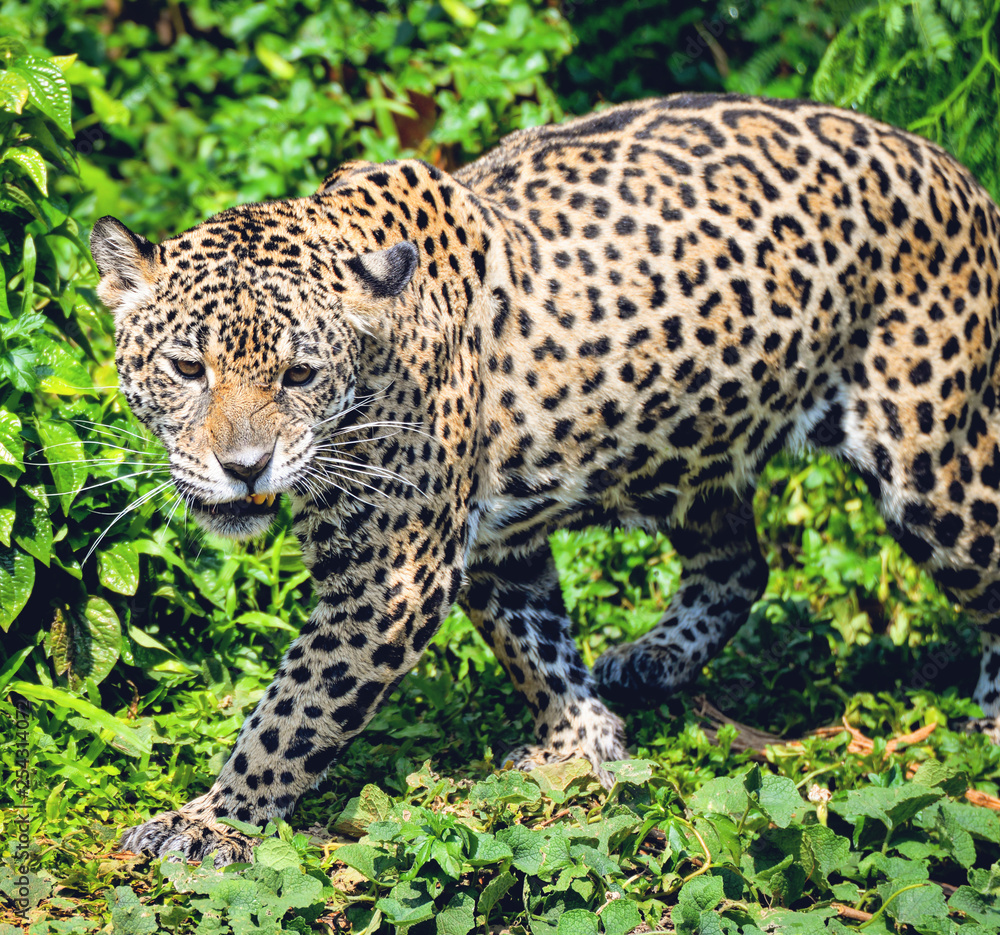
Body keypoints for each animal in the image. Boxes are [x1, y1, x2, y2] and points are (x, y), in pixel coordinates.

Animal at [90, 93, 1000, 867]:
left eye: (300, 374)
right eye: (187, 367)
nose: (245, 467)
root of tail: (961, 171)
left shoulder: (392, 578)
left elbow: (294, 712)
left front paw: (210, 822)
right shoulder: (497, 546)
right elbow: (537, 643)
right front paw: (584, 742)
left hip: (935, 463)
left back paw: (990, 719)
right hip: (694, 434)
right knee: (740, 562)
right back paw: (653, 659)